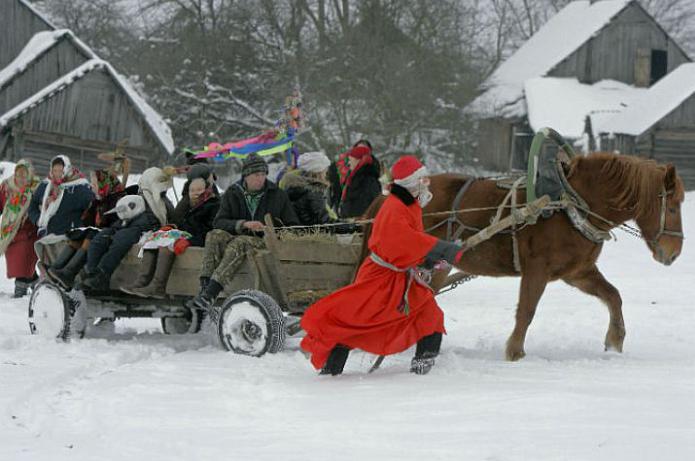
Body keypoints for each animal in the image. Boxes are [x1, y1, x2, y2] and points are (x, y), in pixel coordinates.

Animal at [362, 153, 688, 362]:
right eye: (673, 206)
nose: (673, 253)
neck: (570, 205)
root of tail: (386, 196)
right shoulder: (537, 270)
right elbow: (527, 311)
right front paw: (515, 352)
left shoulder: (577, 272)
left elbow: (613, 296)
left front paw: (615, 341)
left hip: (437, 267)